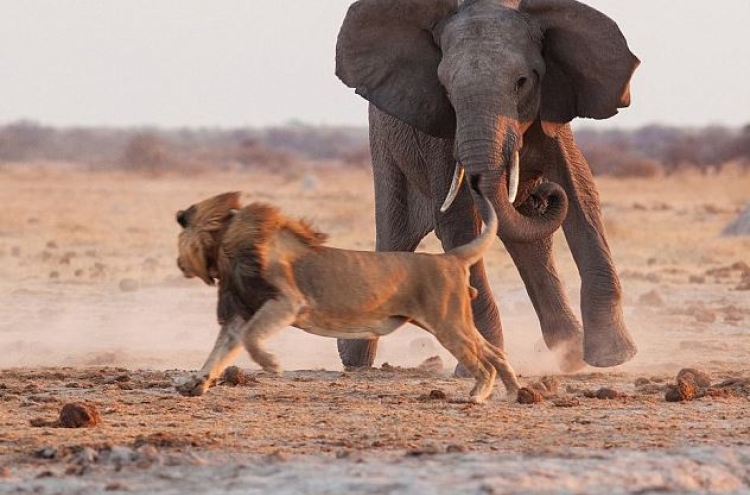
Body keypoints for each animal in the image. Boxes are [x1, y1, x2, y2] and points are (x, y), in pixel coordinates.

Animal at [173, 190, 520, 404]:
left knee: (481, 360)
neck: (226, 245)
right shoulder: (241, 310)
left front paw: (272, 364)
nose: (178, 263)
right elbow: (222, 349)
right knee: (494, 351)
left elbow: (250, 338)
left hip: (447, 323)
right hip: (453, 320)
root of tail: (449, 258)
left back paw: (478, 394)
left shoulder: (286, 302)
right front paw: (196, 383)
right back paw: (517, 393)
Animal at [334, 0, 640, 372]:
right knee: (396, 235)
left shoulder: (553, 113)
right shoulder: (441, 133)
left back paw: (568, 356)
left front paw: (613, 357)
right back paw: (354, 360)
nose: (542, 194)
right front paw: (481, 366)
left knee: (531, 243)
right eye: (445, 88)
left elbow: (581, 194)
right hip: (384, 149)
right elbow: (458, 223)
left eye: (522, 81)